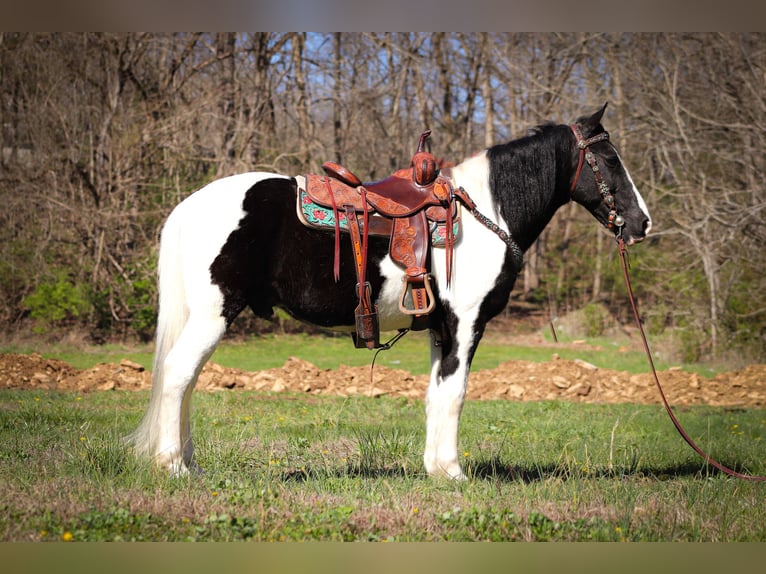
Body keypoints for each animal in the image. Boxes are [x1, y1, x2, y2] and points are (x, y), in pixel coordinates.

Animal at [126, 104, 656, 482]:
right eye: (609, 160)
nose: (643, 224)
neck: (486, 214)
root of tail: (189, 206)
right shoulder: (465, 324)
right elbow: (455, 394)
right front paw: (454, 473)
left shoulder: (440, 329)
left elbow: (435, 394)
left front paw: (435, 468)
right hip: (214, 313)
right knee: (178, 374)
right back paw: (173, 466)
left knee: (188, 379)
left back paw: (188, 463)